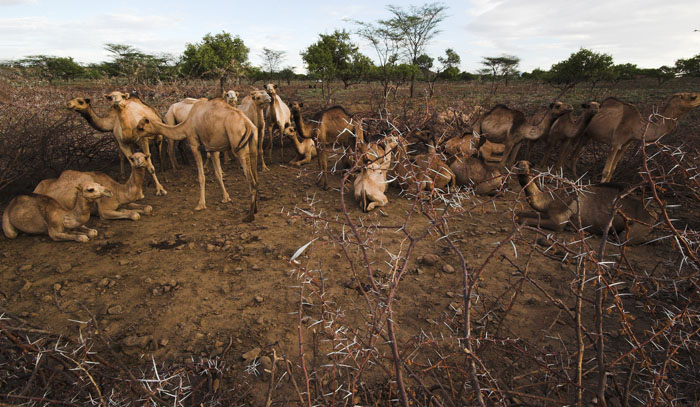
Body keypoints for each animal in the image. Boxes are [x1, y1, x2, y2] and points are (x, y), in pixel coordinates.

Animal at [516, 159, 656, 244]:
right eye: (518, 163)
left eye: (526, 165)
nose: (519, 167)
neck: (548, 200)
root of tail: (654, 215)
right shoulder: (546, 213)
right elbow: (521, 214)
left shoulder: (558, 222)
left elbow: (523, 219)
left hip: (635, 230)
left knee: (624, 238)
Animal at [568, 93, 700, 182]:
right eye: (693, 97)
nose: (698, 97)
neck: (636, 126)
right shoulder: (615, 143)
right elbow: (606, 171)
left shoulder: (626, 144)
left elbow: (613, 168)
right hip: (583, 132)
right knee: (574, 153)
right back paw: (574, 177)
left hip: (588, 135)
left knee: (576, 154)